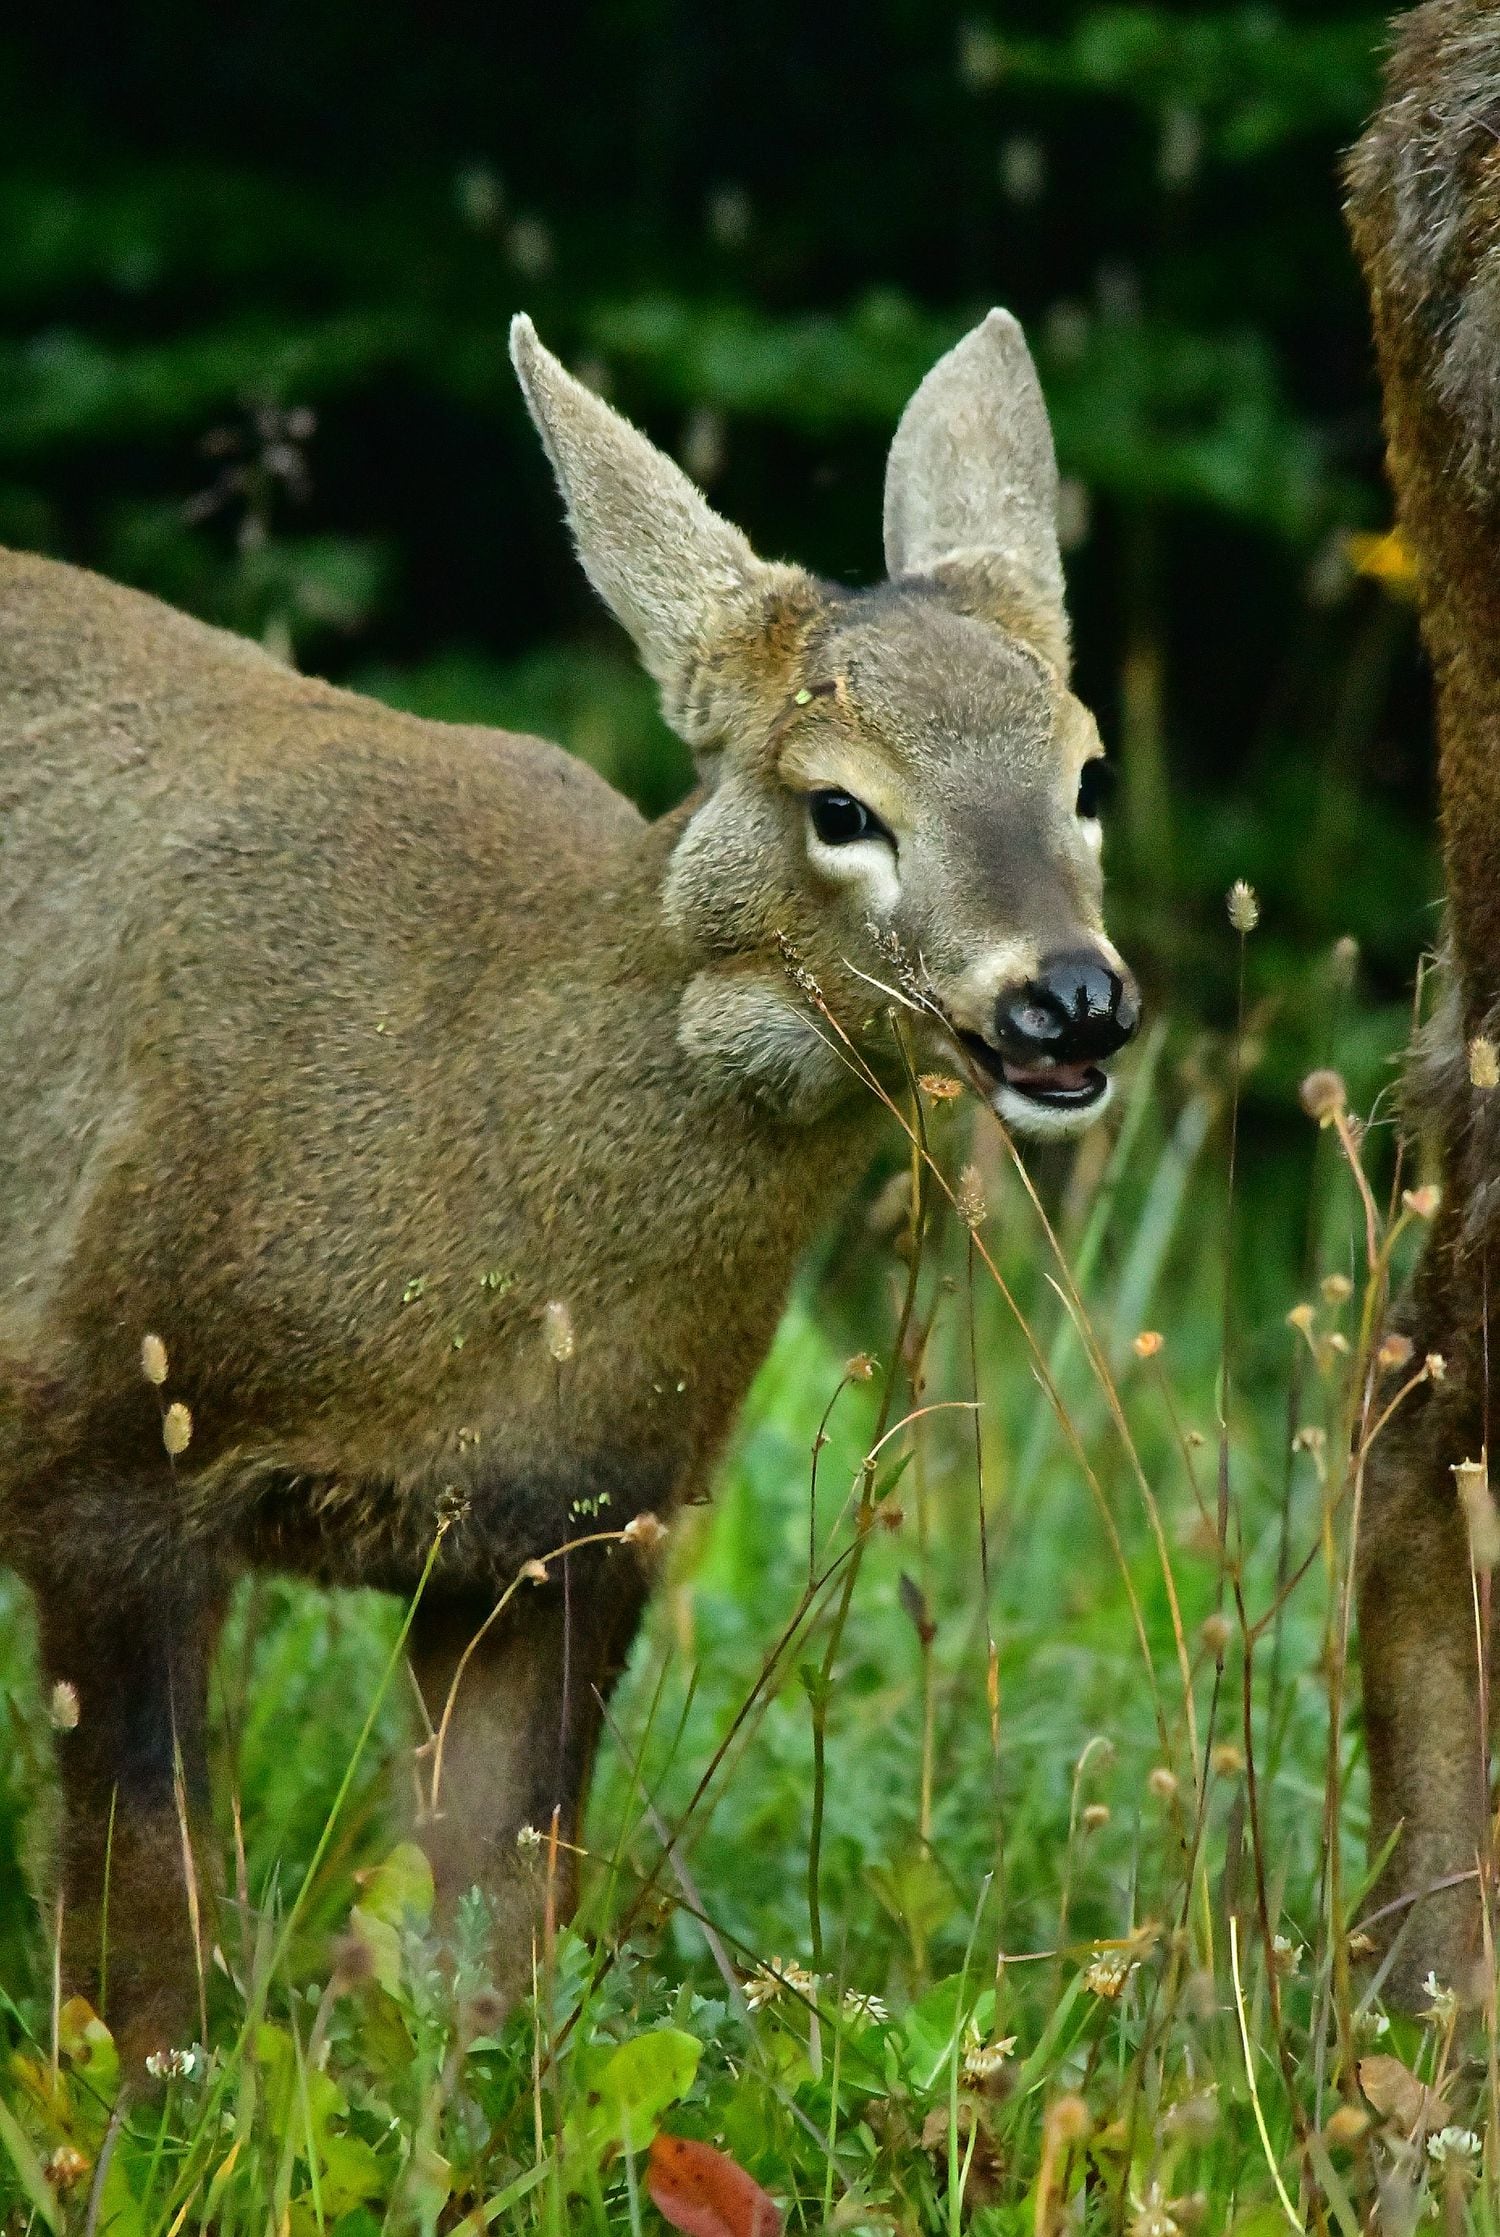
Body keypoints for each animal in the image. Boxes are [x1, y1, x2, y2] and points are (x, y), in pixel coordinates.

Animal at [0, 310, 1144, 2058]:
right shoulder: (105, 1428)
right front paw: (139, 2095)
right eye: (838, 803)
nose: (1068, 1002)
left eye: (1086, 772)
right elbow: (141, 1926)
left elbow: (489, 1936)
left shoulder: (584, 1526)